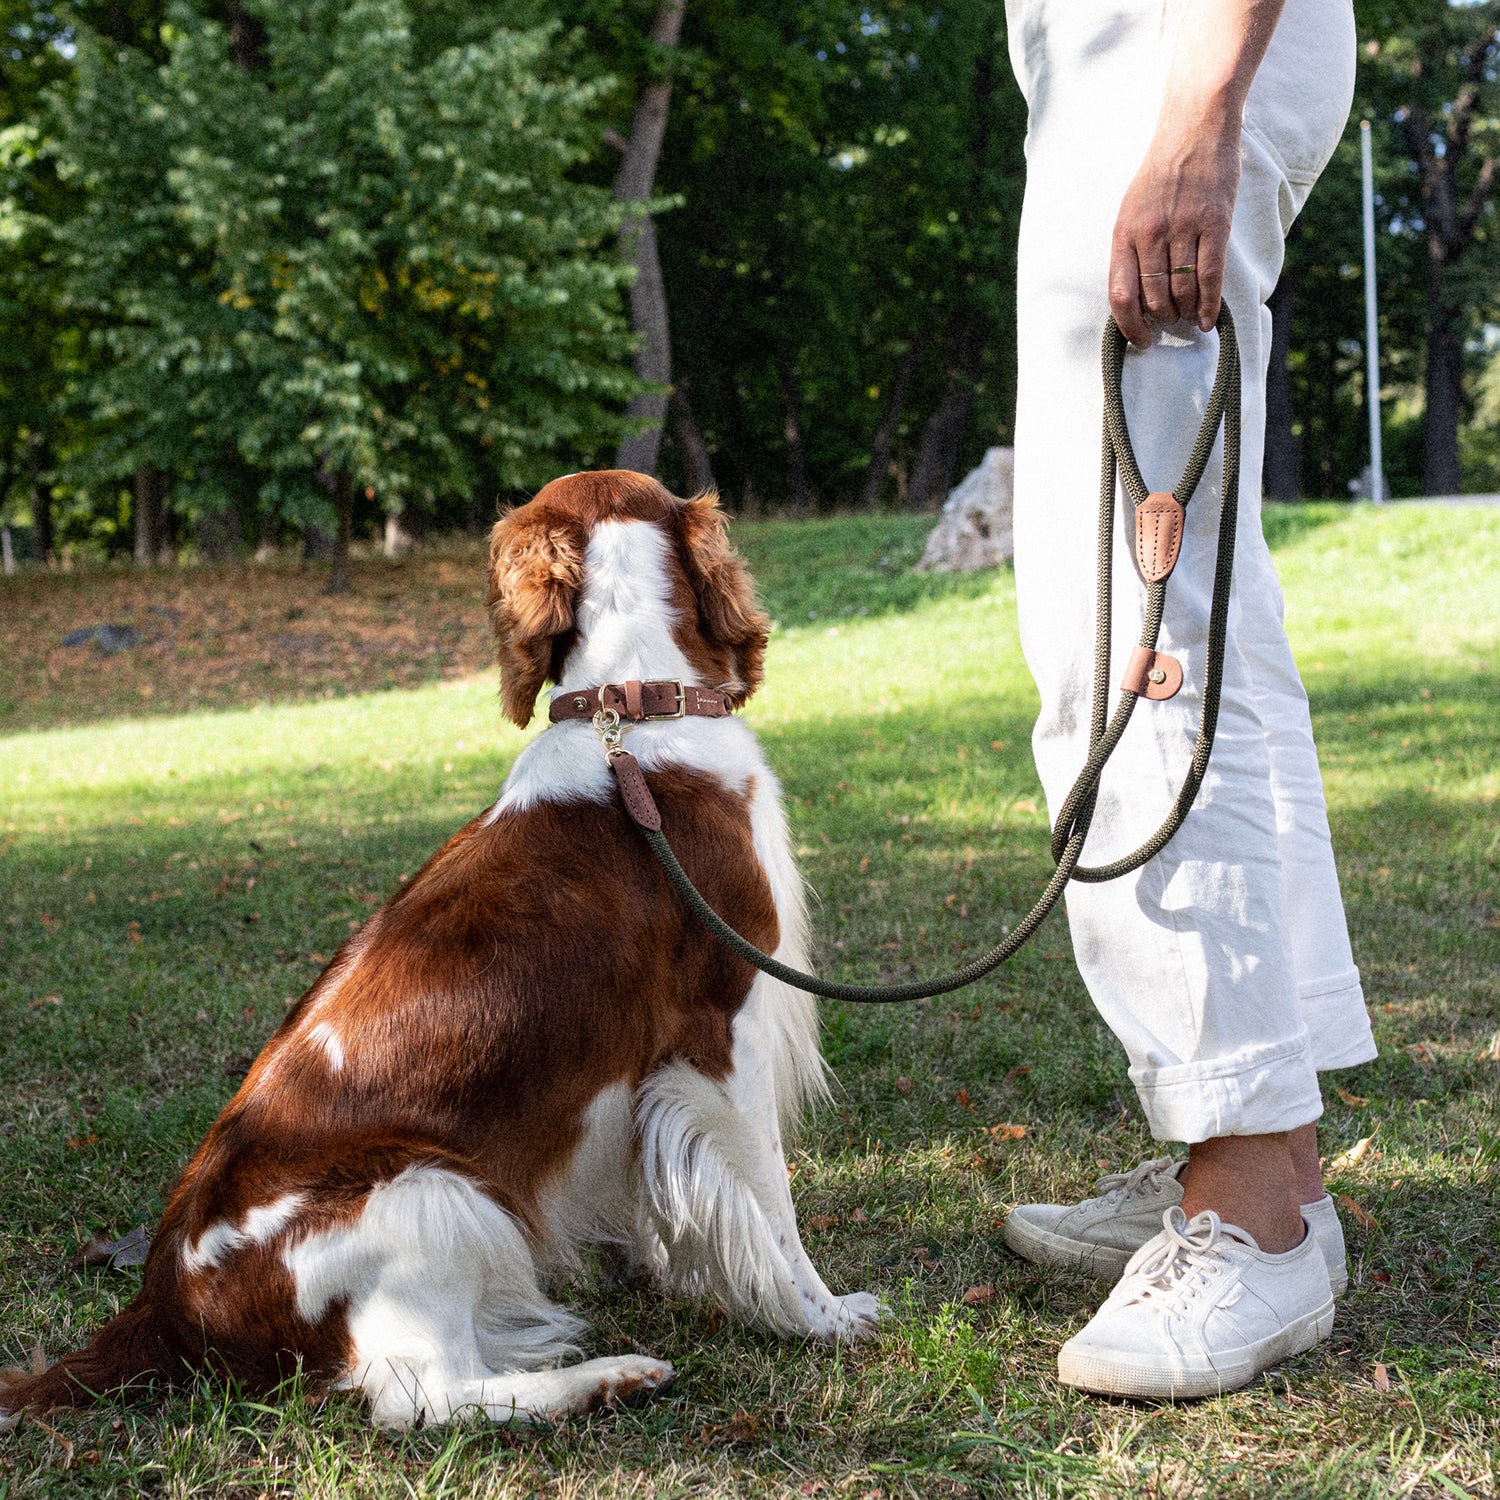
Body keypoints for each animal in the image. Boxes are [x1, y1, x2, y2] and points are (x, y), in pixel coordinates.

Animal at [0, 468, 876, 1428]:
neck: (632, 713)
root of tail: (164, 1303)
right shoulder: (727, 1034)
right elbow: (774, 1209)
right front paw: (823, 1316)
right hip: (432, 1195)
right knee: (427, 1395)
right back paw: (608, 1377)